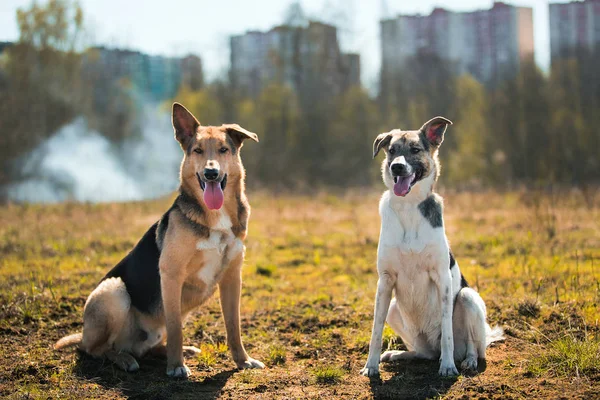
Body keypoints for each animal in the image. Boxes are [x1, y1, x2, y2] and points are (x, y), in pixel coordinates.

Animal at [55, 103, 262, 378]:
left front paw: (243, 360)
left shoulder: (232, 278)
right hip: (113, 291)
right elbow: (175, 328)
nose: (211, 173)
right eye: (197, 150)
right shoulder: (171, 274)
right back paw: (124, 359)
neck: (213, 218)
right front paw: (175, 367)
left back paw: (180, 350)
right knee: (96, 349)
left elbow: (233, 326)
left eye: (223, 150)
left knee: (149, 346)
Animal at [358, 117, 504, 376]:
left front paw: (447, 368)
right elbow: (375, 331)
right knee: (423, 353)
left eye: (415, 150)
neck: (408, 206)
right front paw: (371, 366)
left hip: (468, 297)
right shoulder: (384, 281)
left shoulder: (442, 278)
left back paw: (466, 361)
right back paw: (398, 354)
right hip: (395, 309)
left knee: (473, 347)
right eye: (392, 150)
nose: (396, 167)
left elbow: (447, 333)